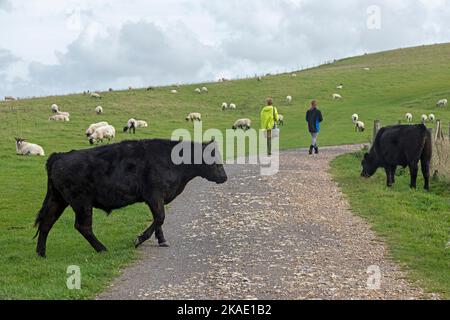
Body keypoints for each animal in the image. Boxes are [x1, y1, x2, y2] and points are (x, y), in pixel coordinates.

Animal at [34, 139, 229, 258]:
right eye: (214, 159)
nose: (224, 177)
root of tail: (60, 155)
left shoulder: (154, 198)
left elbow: (158, 219)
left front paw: (162, 240)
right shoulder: (154, 195)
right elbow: (160, 217)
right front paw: (139, 240)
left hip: (58, 200)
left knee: (46, 224)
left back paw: (41, 254)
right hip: (81, 203)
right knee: (83, 227)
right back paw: (103, 249)